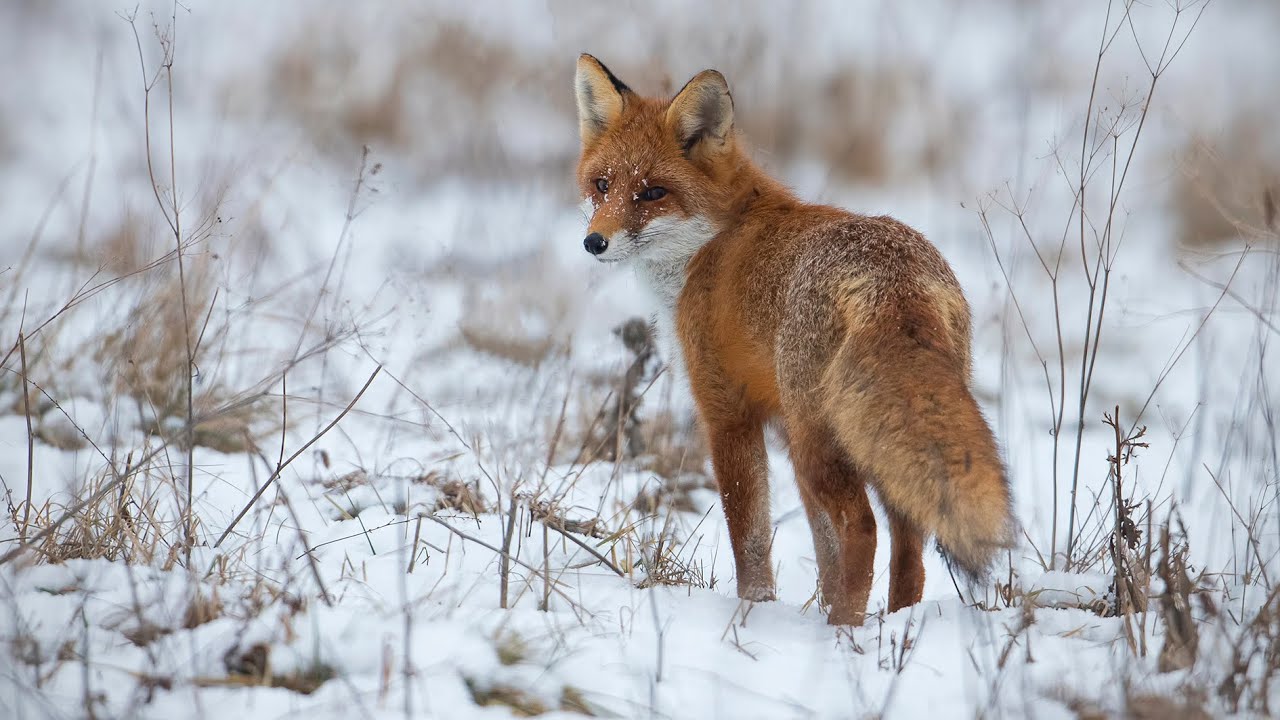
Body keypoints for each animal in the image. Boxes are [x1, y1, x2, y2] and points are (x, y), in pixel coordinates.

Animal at [573, 54, 1013, 624]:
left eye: (652, 192)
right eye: (603, 185)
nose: (594, 242)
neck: (709, 244)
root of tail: (893, 280)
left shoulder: (727, 412)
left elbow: (751, 538)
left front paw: (753, 611)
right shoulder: (779, 420)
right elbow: (823, 551)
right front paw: (810, 607)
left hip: (816, 444)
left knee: (863, 529)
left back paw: (845, 630)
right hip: (851, 438)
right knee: (908, 548)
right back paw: (895, 622)